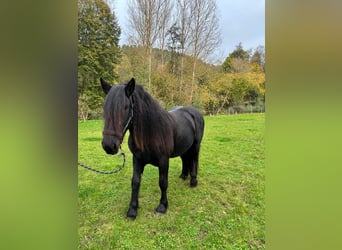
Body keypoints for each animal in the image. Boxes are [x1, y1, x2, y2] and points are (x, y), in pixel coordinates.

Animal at [100, 78, 204, 219]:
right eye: (104, 107)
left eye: (125, 107)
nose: (109, 146)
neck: (151, 133)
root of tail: (194, 112)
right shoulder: (137, 159)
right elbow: (135, 182)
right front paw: (132, 209)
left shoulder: (164, 160)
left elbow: (163, 182)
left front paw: (162, 206)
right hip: (184, 146)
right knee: (185, 159)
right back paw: (183, 176)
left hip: (195, 146)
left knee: (194, 160)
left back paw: (193, 181)